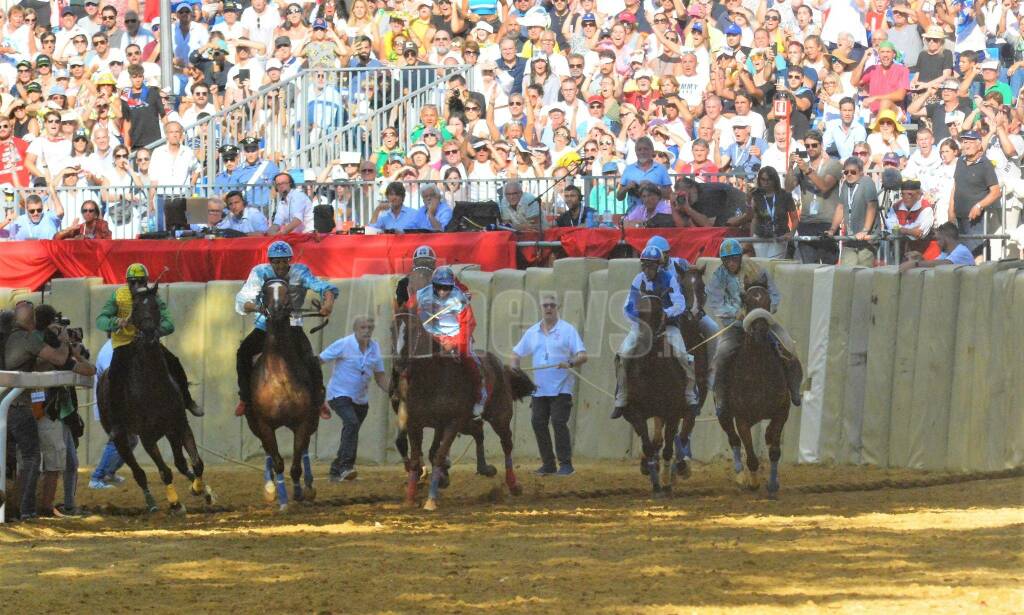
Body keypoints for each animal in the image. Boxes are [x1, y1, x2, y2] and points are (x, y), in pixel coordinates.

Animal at [97, 282, 214, 513]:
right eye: (136, 309)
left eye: (156, 306)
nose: (150, 333)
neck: (153, 387)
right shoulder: (147, 437)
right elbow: (164, 471)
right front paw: (175, 503)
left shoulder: (179, 424)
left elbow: (197, 462)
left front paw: (199, 489)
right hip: (121, 438)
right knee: (139, 473)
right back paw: (151, 503)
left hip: (168, 431)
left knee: (181, 463)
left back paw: (203, 491)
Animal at [243, 278, 319, 507]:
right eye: (265, 291)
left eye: (287, 291)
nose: (276, 310)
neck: (279, 375)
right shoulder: (265, 424)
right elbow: (277, 462)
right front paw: (282, 499)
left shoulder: (302, 422)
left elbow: (295, 466)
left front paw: (299, 493)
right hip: (254, 424)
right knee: (268, 451)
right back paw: (270, 488)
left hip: (312, 420)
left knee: (304, 449)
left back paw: (309, 487)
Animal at [393, 268, 536, 507]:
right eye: (392, 328)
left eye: (413, 330)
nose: (399, 364)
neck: (432, 378)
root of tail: (500, 366)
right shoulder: (415, 422)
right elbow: (416, 459)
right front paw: (410, 498)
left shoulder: (452, 422)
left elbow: (439, 455)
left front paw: (431, 499)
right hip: (465, 421)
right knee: (478, 432)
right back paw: (484, 468)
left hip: (499, 415)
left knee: (506, 443)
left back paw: (513, 484)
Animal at [618, 280, 692, 497]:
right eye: (639, 311)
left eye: (659, 311)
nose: (644, 341)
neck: (651, 370)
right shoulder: (634, 412)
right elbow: (649, 446)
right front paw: (656, 483)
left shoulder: (673, 411)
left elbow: (667, 448)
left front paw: (666, 483)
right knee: (654, 442)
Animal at [716, 284, 786, 497]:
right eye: (746, 300)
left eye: (768, 301)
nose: (761, 330)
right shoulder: (742, 419)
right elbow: (751, 455)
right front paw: (753, 482)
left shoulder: (782, 411)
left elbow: (774, 450)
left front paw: (772, 485)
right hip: (724, 413)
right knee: (734, 440)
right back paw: (741, 475)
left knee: (767, 437)